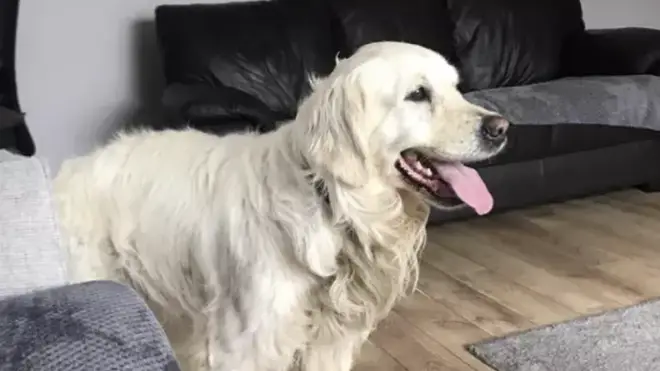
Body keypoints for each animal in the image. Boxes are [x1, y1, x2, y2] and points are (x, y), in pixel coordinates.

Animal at [54, 41, 508, 371]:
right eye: (418, 94)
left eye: (456, 88)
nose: (501, 127)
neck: (332, 203)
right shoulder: (244, 345)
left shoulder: (331, 343)